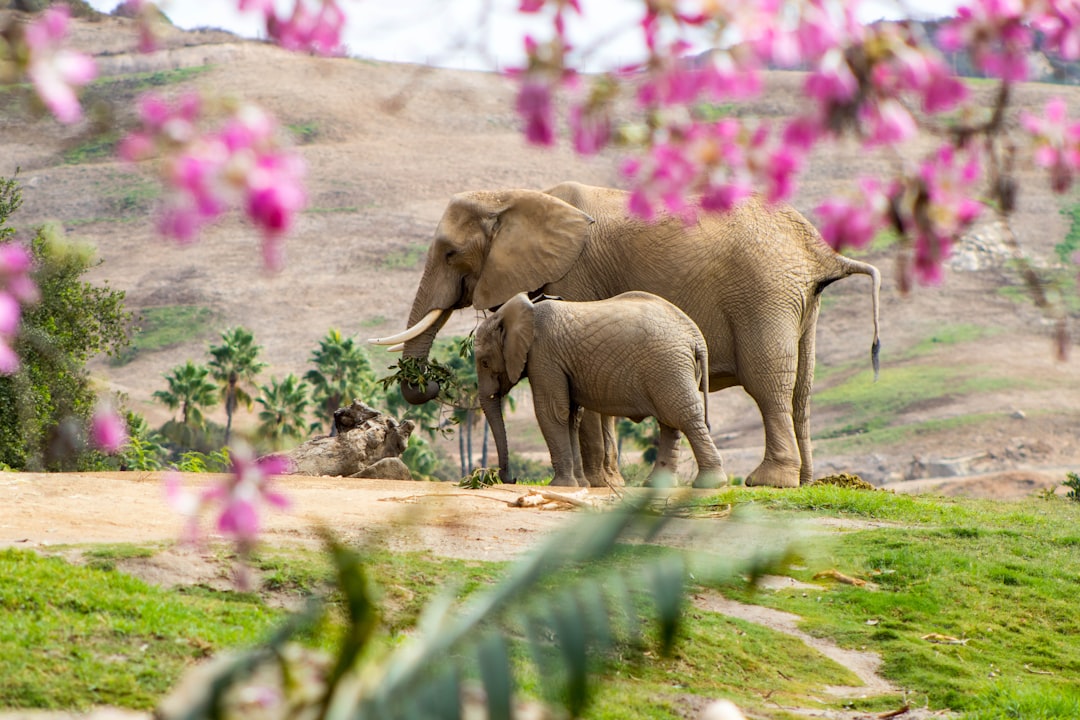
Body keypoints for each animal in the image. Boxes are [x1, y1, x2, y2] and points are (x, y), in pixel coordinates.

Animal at [475, 293, 721, 490]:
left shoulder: (544, 355)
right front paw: (580, 484)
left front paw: (560, 486)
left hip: (668, 365)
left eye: (484, 363)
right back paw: (656, 485)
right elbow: (571, 417)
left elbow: (552, 412)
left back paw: (709, 484)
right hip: (672, 369)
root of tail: (696, 336)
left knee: (683, 416)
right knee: (670, 422)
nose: (511, 479)